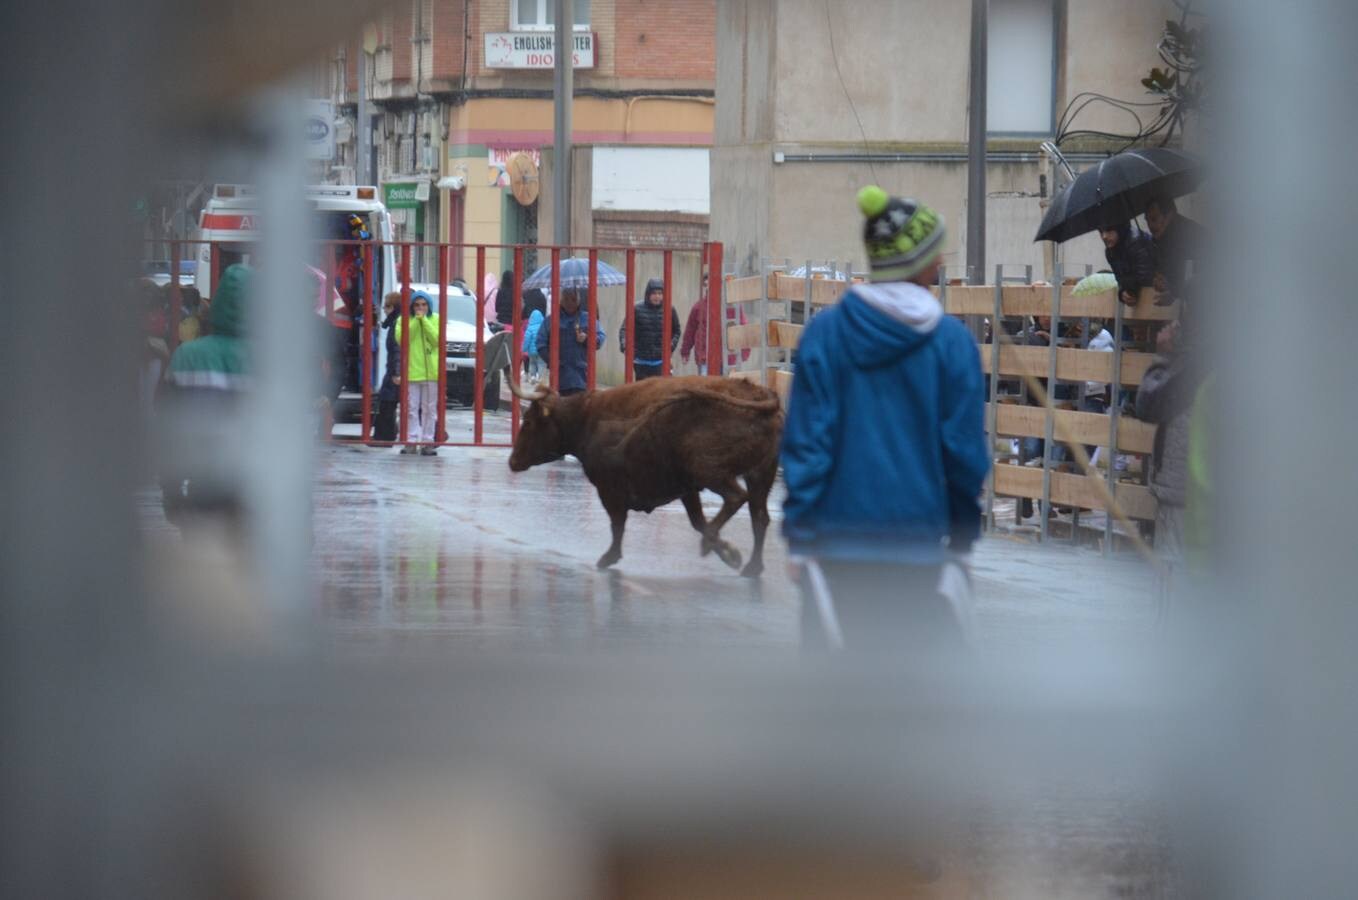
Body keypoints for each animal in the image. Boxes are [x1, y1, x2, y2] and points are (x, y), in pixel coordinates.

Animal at [507, 374, 787, 578]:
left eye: (529, 421)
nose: (513, 461)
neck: (587, 417)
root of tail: (760, 395)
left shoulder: (610, 489)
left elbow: (617, 523)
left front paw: (608, 557)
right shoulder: (687, 488)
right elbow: (698, 521)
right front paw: (728, 552)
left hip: (710, 471)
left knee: (736, 497)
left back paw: (711, 547)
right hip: (760, 474)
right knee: (759, 517)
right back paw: (751, 567)